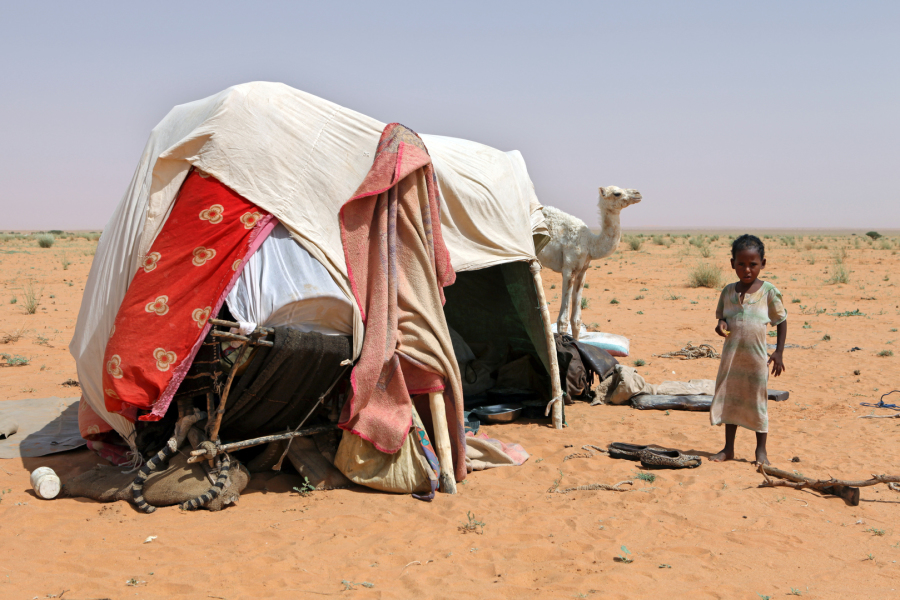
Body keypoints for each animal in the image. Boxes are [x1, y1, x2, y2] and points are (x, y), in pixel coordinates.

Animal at [538, 186, 642, 339]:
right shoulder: (568, 268)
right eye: (617, 193)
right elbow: (563, 322)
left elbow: (576, 321)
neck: (590, 244)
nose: (638, 193)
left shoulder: (582, 270)